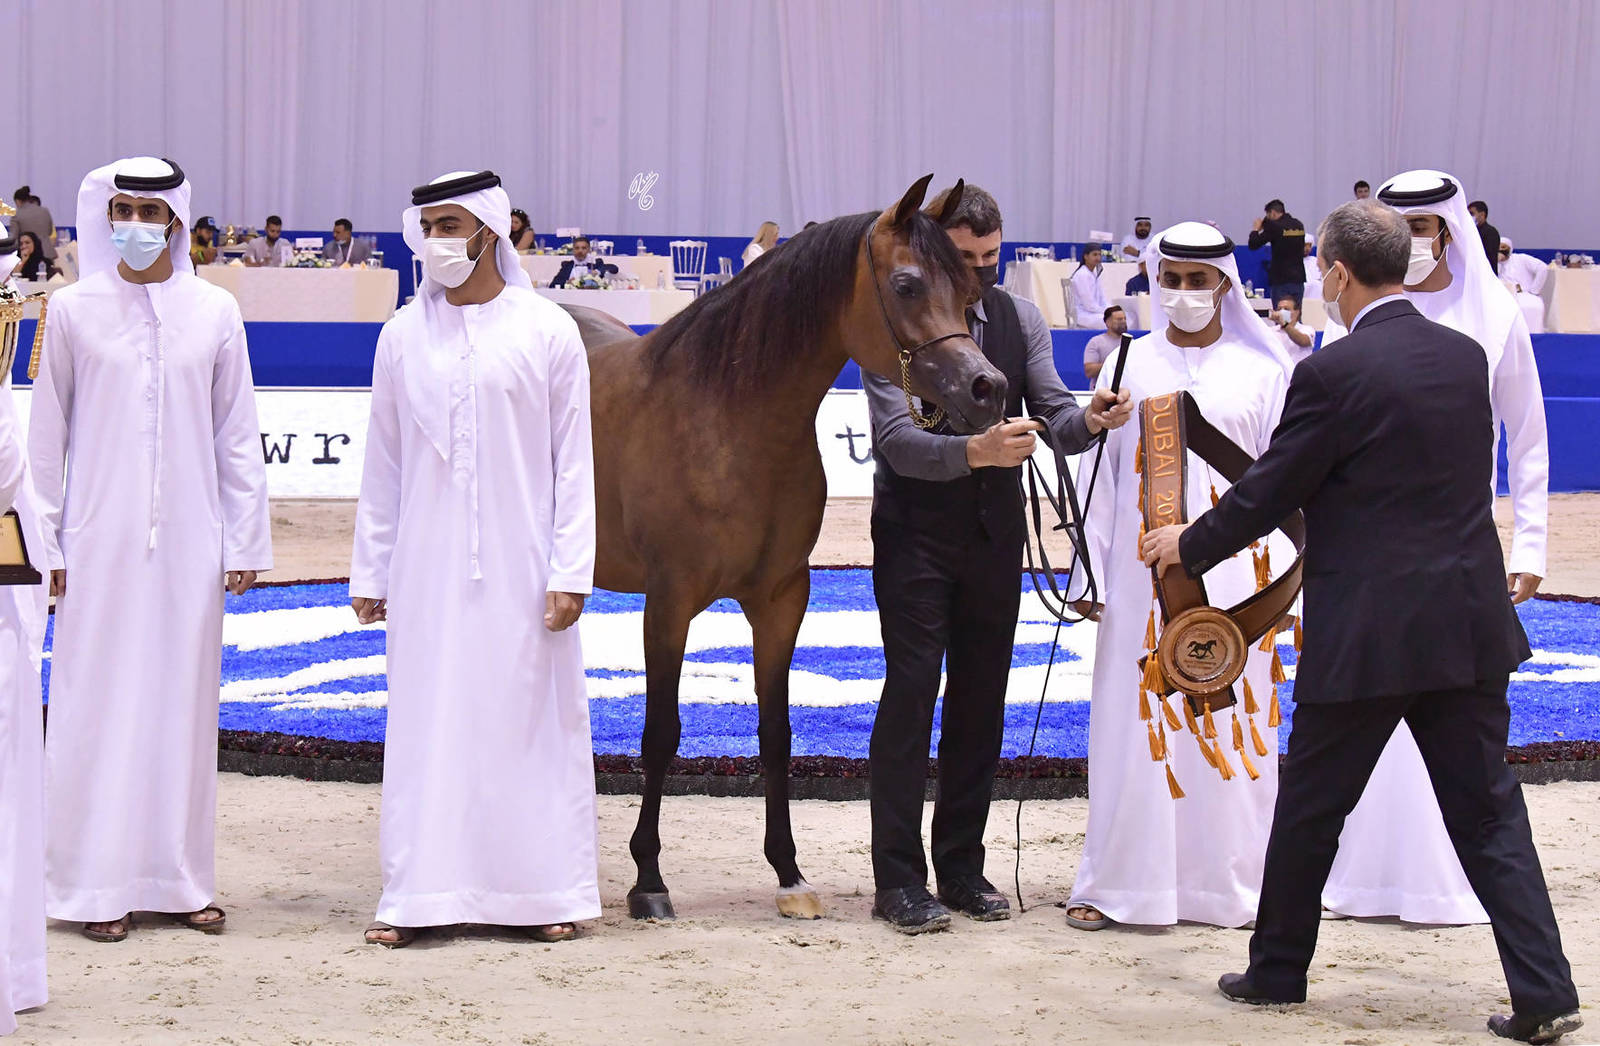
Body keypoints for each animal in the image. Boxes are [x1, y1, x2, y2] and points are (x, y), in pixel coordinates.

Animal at [562, 175, 1007, 921]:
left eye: (971, 288)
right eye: (909, 285)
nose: (989, 388)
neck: (728, 419)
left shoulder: (780, 599)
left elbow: (777, 732)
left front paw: (789, 874)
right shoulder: (668, 601)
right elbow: (660, 735)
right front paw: (648, 879)